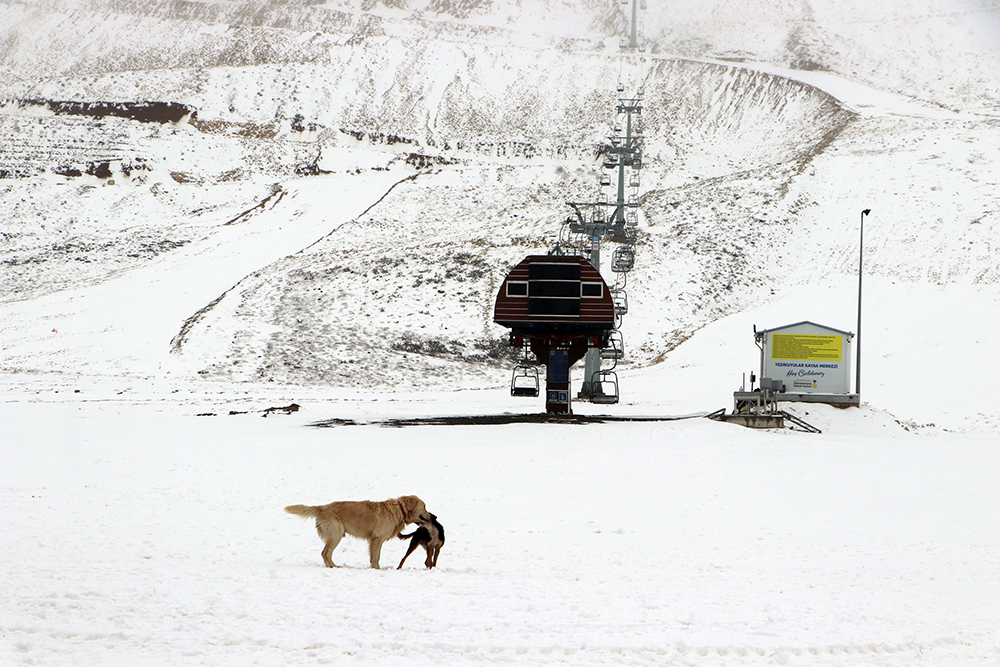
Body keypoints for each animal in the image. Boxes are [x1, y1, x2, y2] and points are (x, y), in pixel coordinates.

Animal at [288, 496, 432, 568]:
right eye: (424, 506)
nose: (432, 516)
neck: (399, 510)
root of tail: (322, 507)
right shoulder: (376, 539)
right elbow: (375, 557)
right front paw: (376, 569)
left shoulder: (378, 540)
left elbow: (377, 556)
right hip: (336, 535)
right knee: (325, 553)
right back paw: (334, 567)